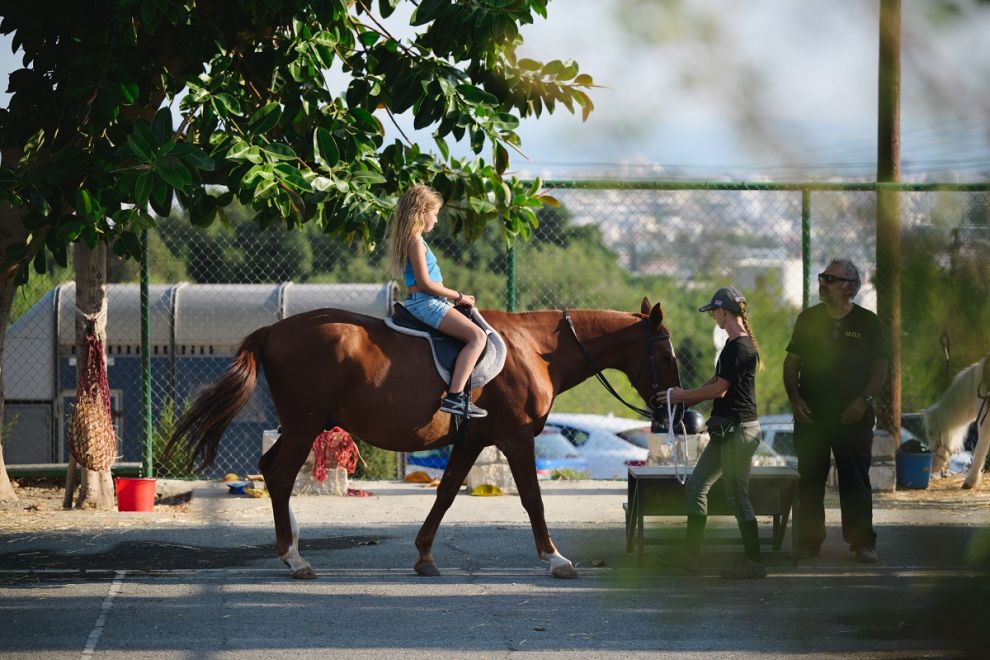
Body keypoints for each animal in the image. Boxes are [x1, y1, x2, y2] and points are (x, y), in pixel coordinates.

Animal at [169, 298, 680, 576]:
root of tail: (274, 329)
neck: (534, 349)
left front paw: (424, 555)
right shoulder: (516, 439)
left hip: (301, 425)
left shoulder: (472, 440)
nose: (669, 406)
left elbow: (448, 492)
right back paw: (294, 559)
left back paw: (291, 542)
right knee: (279, 476)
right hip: (304, 425)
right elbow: (533, 500)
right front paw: (554, 558)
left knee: (271, 470)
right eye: (664, 353)